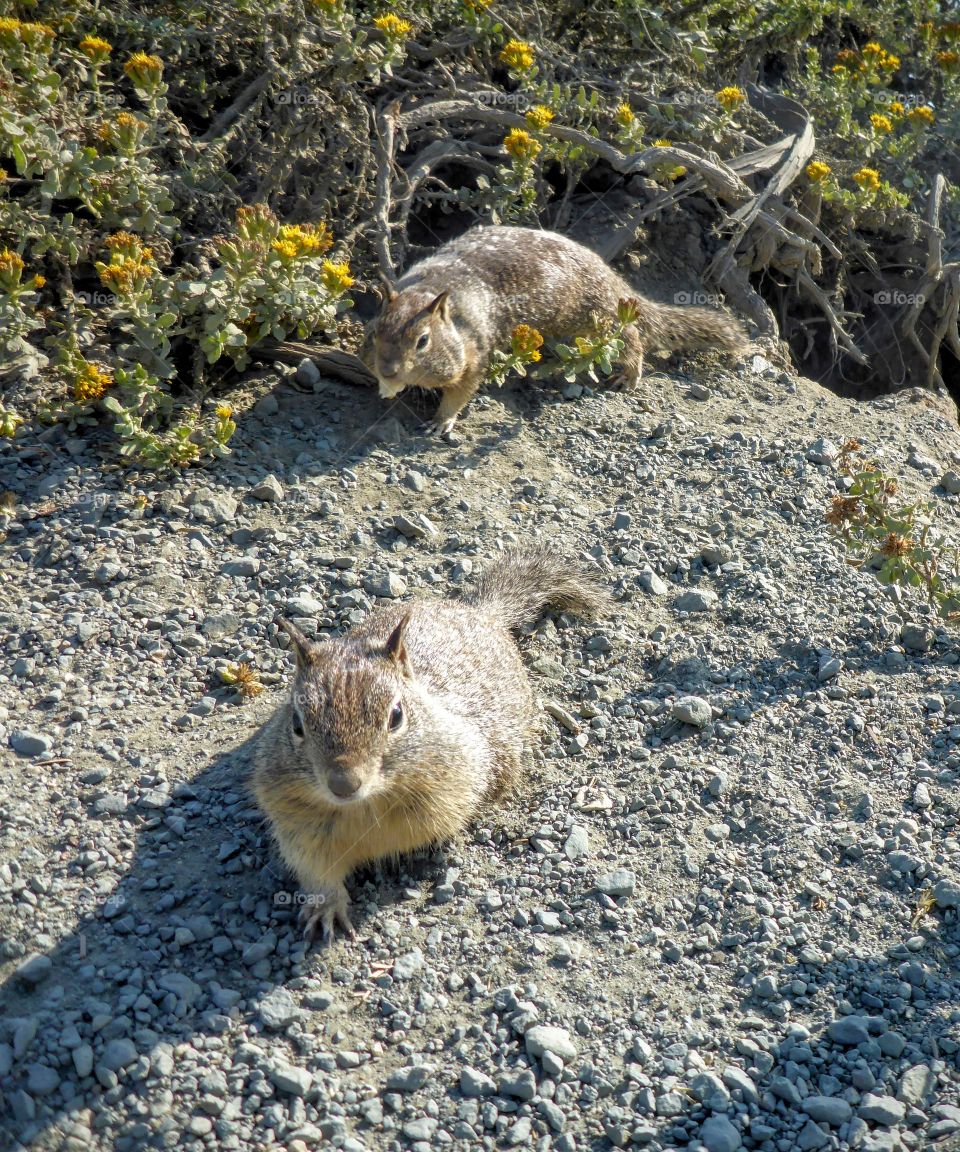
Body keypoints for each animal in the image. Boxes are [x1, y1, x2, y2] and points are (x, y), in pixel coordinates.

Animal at [246, 543, 608, 940]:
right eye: (297, 723)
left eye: (396, 716)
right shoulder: (296, 826)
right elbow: (316, 873)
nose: (343, 784)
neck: (364, 807)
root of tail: (479, 612)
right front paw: (325, 910)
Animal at [364, 223, 746, 433]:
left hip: (598, 319)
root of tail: (612, 278)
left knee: (631, 339)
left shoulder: (475, 355)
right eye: (376, 331)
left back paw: (629, 375)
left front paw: (441, 420)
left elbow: (460, 393)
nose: (388, 370)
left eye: (423, 341)